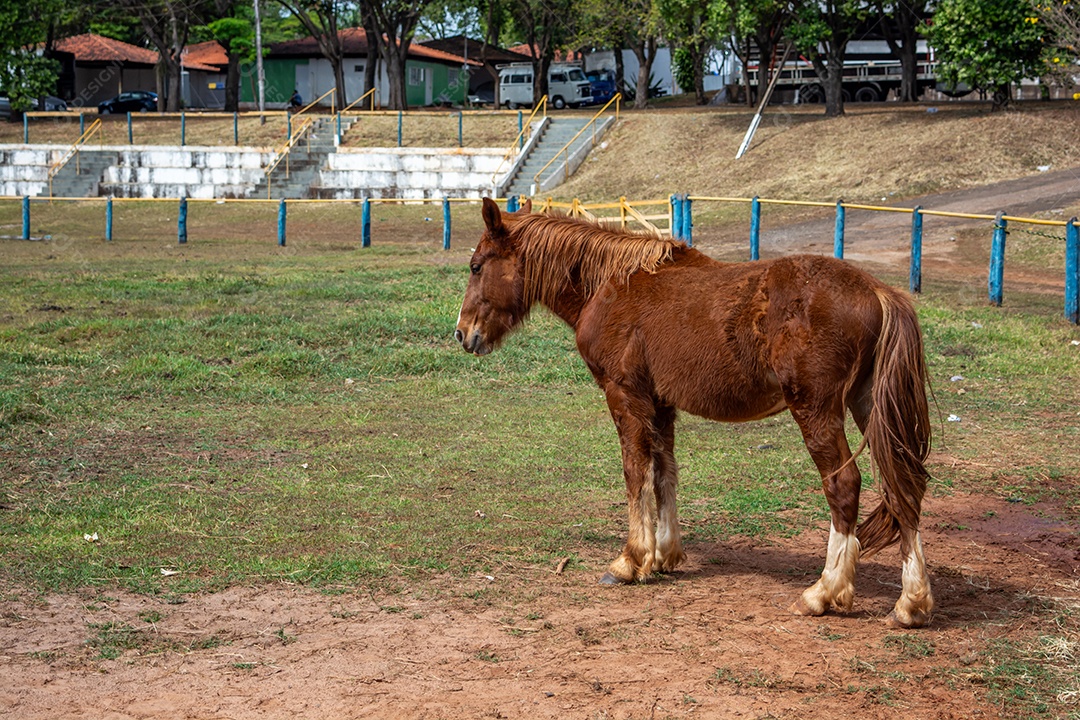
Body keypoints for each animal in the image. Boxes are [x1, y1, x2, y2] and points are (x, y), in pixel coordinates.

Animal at [455, 199, 937, 626]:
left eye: (477, 266)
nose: (462, 334)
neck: (610, 285)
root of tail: (877, 290)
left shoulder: (624, 394)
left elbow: (635, 471)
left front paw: (630, 560)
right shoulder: (660, 402)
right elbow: (664, 470)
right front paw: (663, 554)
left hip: (817, 409)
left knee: (844, 486)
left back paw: (823, 592)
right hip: (868, 406)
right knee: (903, 484)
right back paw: (911, 603)